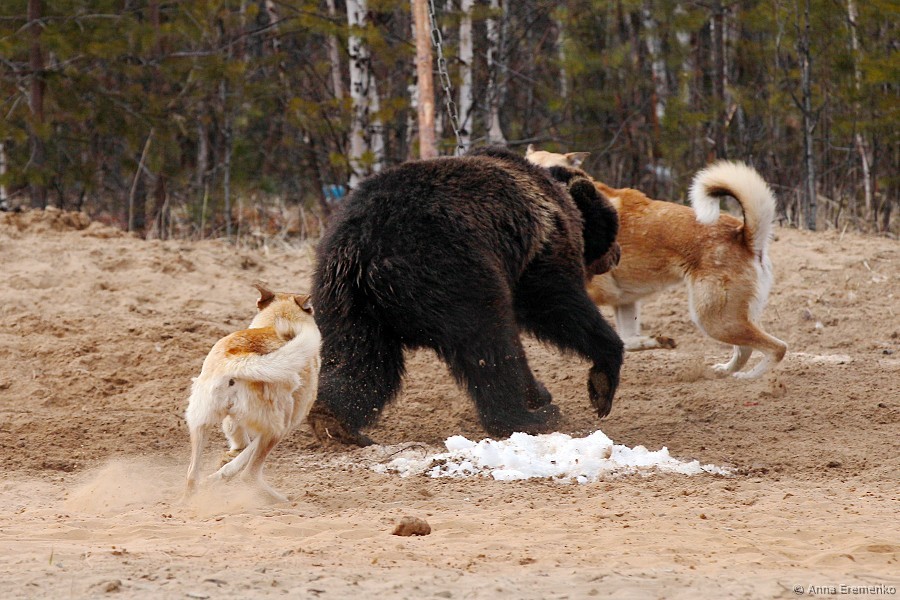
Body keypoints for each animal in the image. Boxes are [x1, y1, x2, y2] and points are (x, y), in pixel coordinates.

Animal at [184, 284, 321, 502]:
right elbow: (244, 457)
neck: (278, 319)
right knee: (249, 475)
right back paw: (279, 500)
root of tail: (239, 359)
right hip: (276, 431)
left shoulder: (232, 422)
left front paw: (224, 464)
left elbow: (240, 447)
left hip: (199, 422)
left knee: (191, 476)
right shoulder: (283, 426)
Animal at [308, 147, 624, 446]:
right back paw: (528, 417)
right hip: (453, 273)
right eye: (613, 224)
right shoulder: (537, 252)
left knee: (362, 361)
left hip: (347, 302)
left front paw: (540, 392)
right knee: (488, 344)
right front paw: (600, 382)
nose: (617, 254)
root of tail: (363, 249)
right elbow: (559, 308)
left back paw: (333, 420)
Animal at [526, 146, 787, 379]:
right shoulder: (624, 302)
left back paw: (749, 379)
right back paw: (725, 372)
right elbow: (627, 340)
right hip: (727, 318)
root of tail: (744, 235)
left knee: (777, 348)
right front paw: (658, 341)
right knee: (747, 350)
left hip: (714, 320)